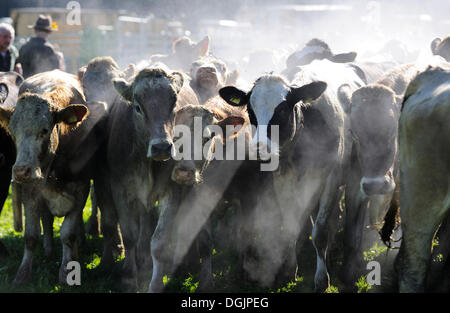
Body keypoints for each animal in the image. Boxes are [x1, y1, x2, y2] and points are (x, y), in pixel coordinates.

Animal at [0, 69, 107, 284]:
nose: (21, 171)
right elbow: (31, 235)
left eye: (45, 130)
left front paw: (67, 271)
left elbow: (68, 233)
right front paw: (23, 274)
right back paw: (49, 249)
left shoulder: (81, 189)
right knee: (47, 219)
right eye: (13, 133)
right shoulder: (31, 191)